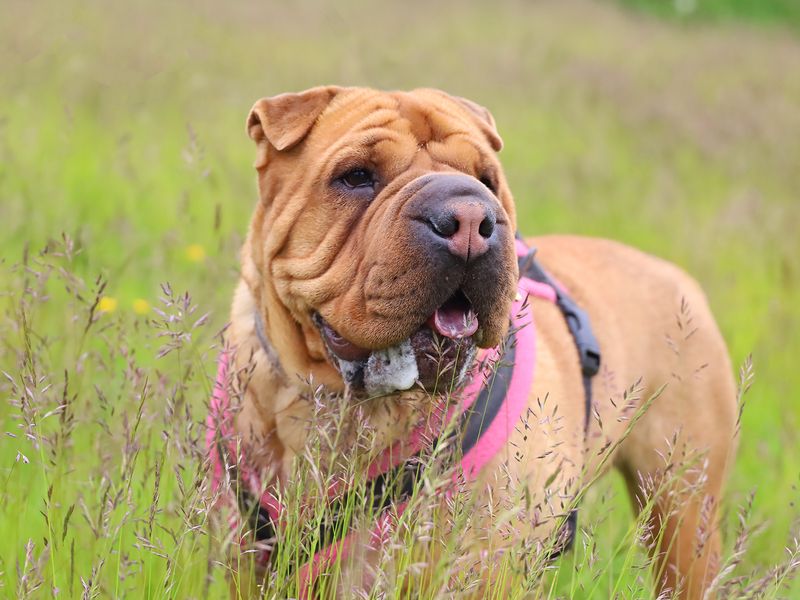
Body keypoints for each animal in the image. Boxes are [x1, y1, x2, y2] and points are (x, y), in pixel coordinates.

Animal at [208, 86, 736, 596]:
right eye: (356, 176)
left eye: (487, 179)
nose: (468, 218)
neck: (350, 406)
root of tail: (679, 277)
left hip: (683, 509)